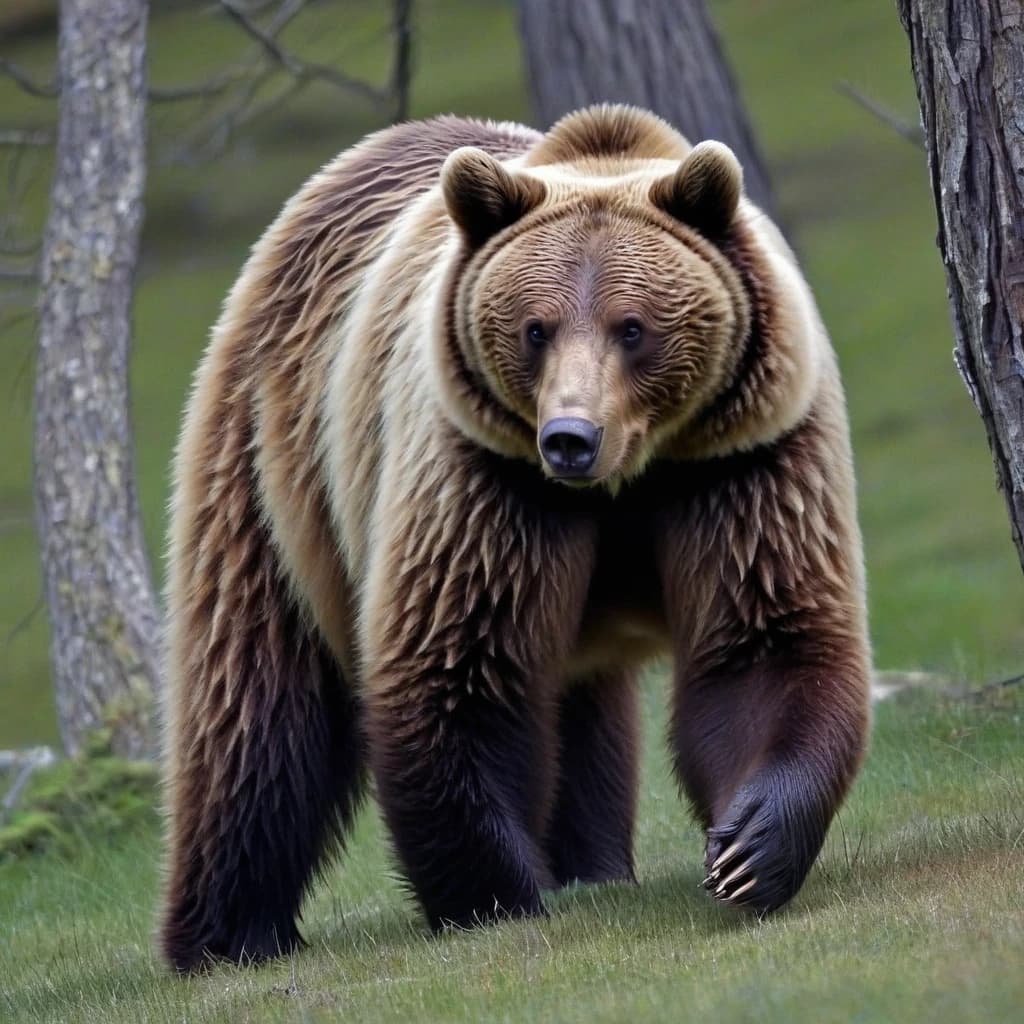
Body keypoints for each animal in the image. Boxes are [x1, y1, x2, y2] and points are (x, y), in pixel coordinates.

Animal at [159, 104, 871, 972]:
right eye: (537, 327)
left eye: (632, 327)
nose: (570, 438)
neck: (628, 480)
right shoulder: (484, 482)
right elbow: (463, 666)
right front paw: (496, 893)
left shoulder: (742, 462)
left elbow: (761, 643)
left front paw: (751, 849)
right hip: (278, 456)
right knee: (257, 696)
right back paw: (229, 935)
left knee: (580, 706)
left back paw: (595, 865)